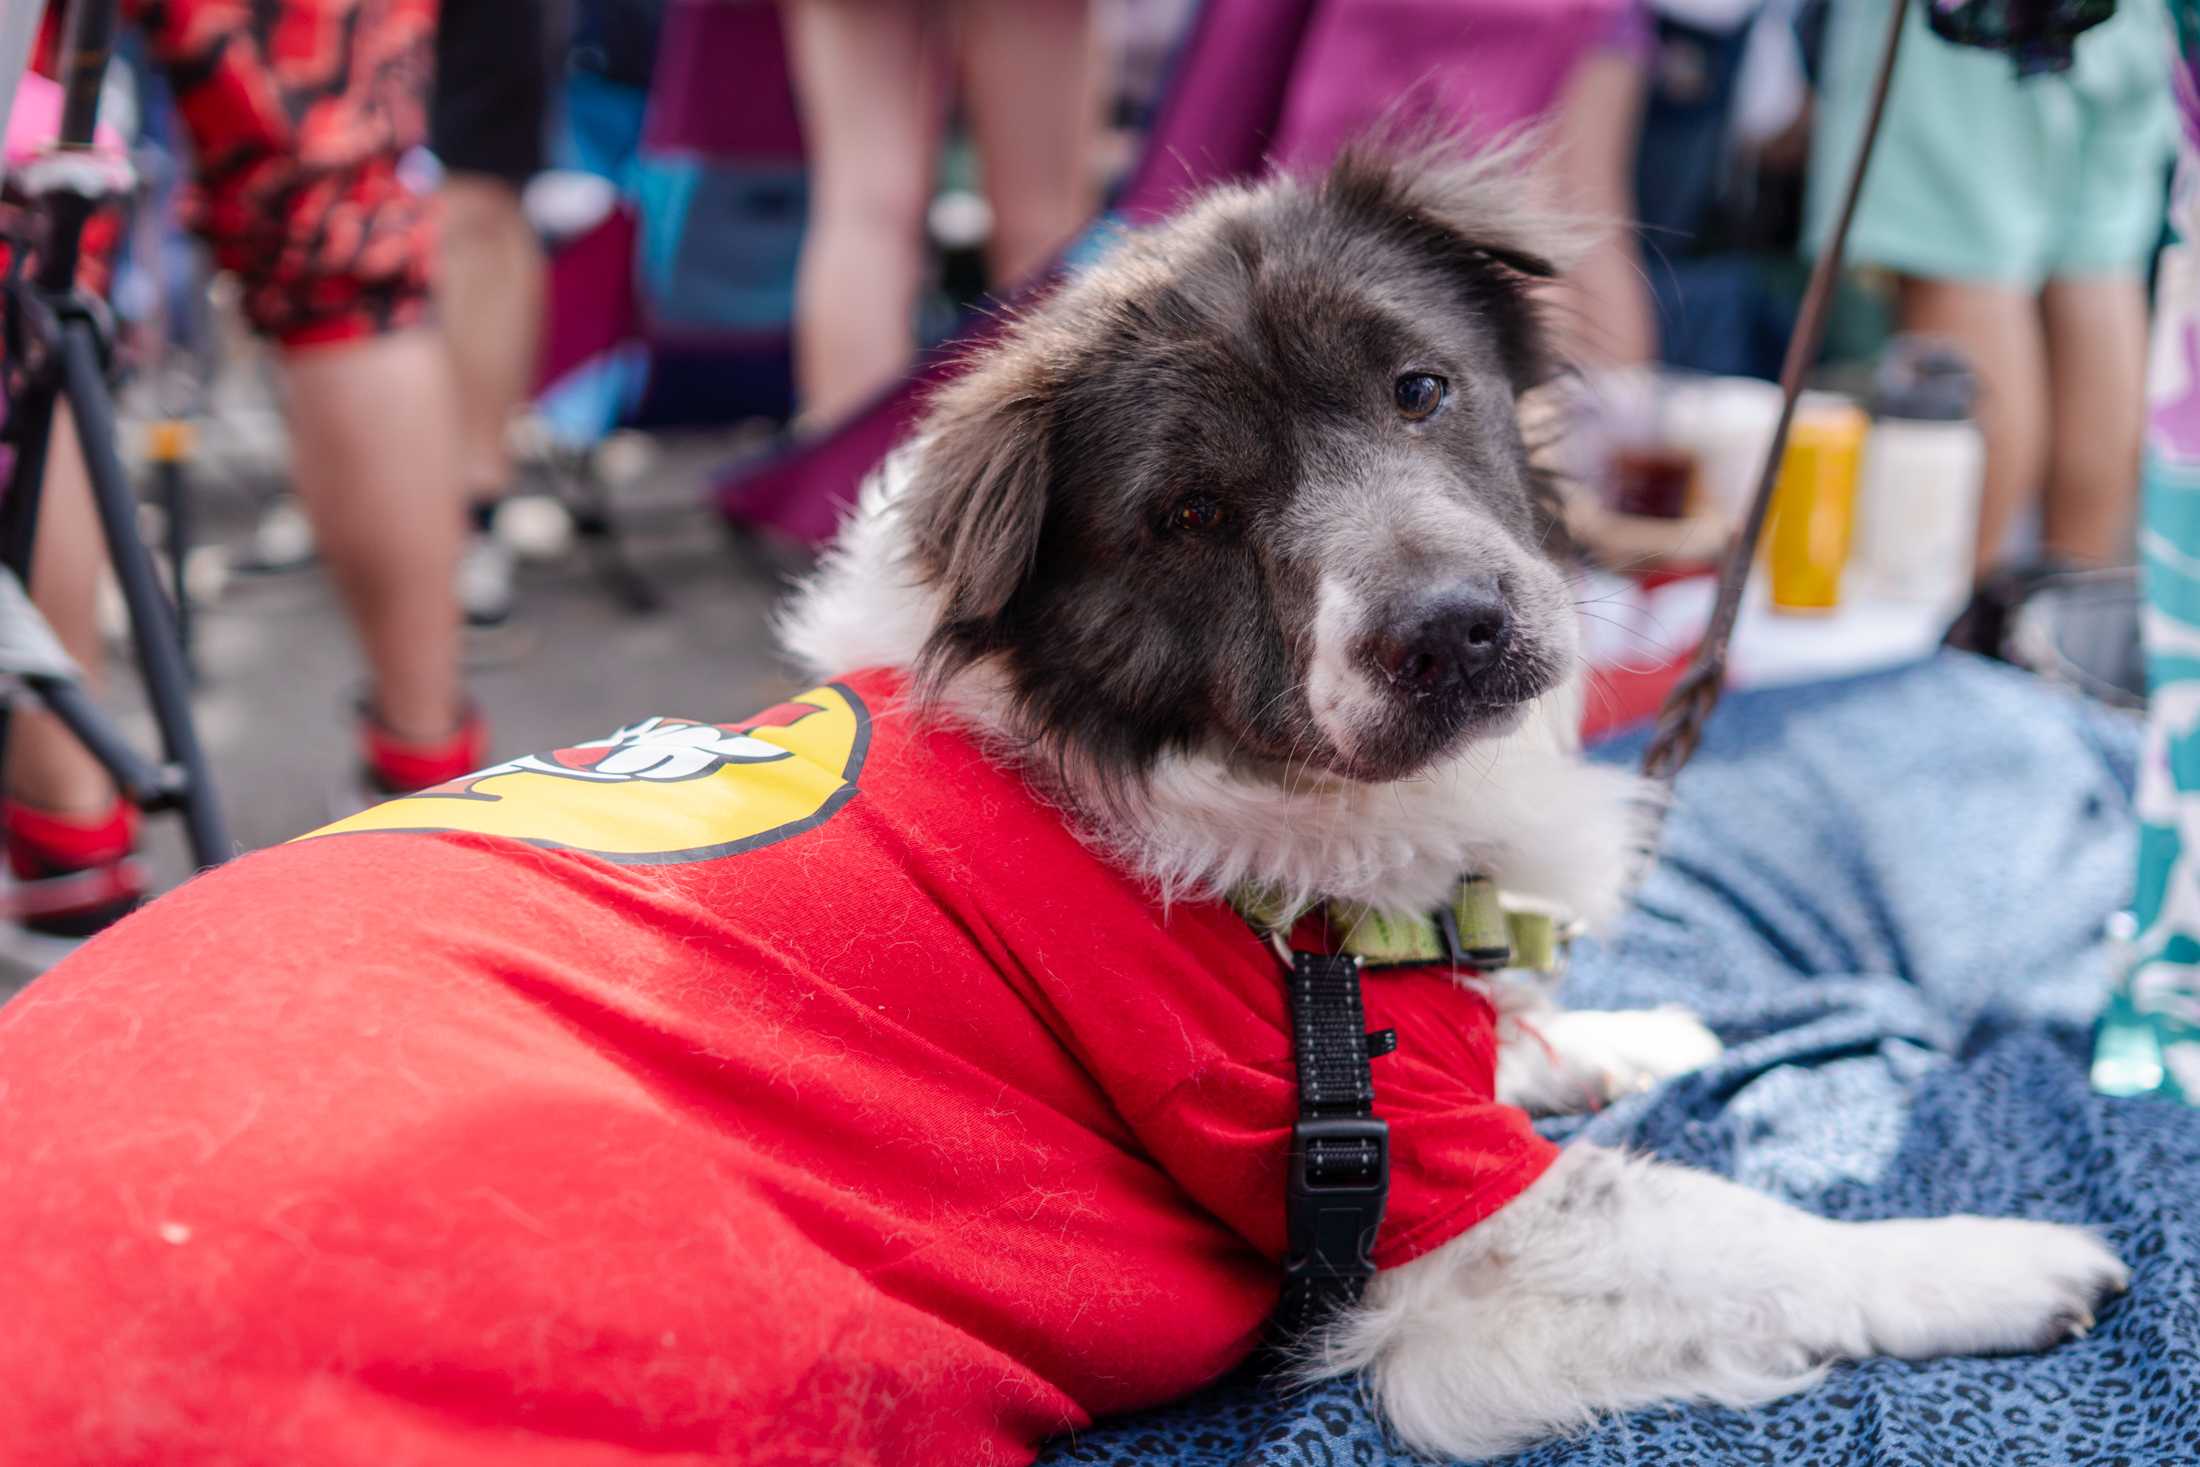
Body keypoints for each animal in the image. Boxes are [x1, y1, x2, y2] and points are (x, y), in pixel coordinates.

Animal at [783, 146, 2120, 1460]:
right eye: (1192, 513)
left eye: (1419, 389)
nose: (1449, 635)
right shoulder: (1417, 1212)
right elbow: (1733, 1227)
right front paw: (1988, 1263)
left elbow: (1507, 1031)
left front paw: (1613, 1039)